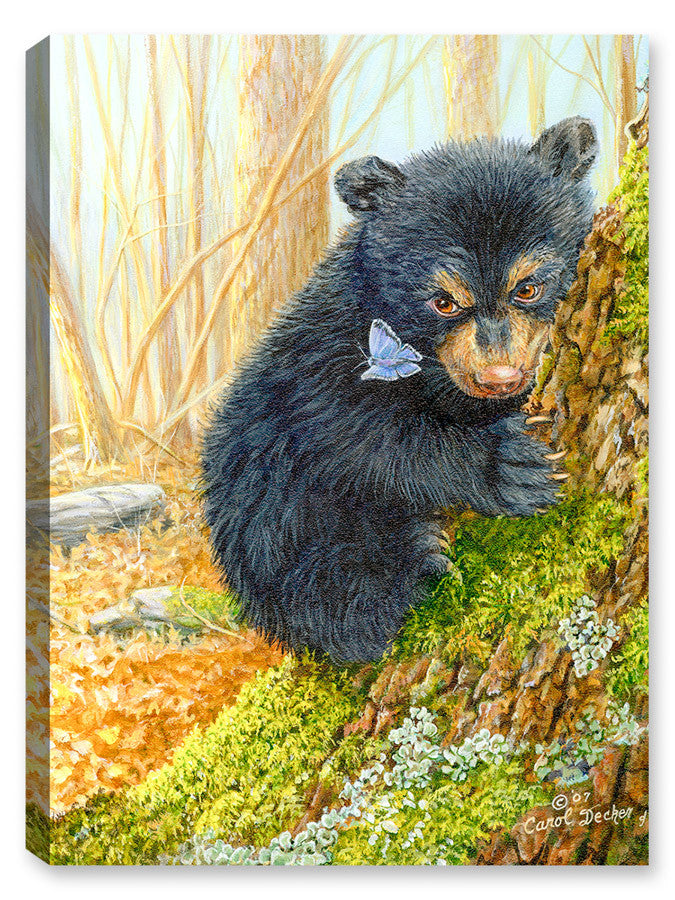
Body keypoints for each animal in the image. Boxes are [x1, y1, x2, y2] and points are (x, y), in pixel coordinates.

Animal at [201, 116, 599, 664]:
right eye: (444, 301)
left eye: (528, 287)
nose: (498, 378)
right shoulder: (325, 350)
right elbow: (355, 432)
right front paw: (511, 466)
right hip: (276, 526)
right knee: (327, 585)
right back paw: (410, 567)